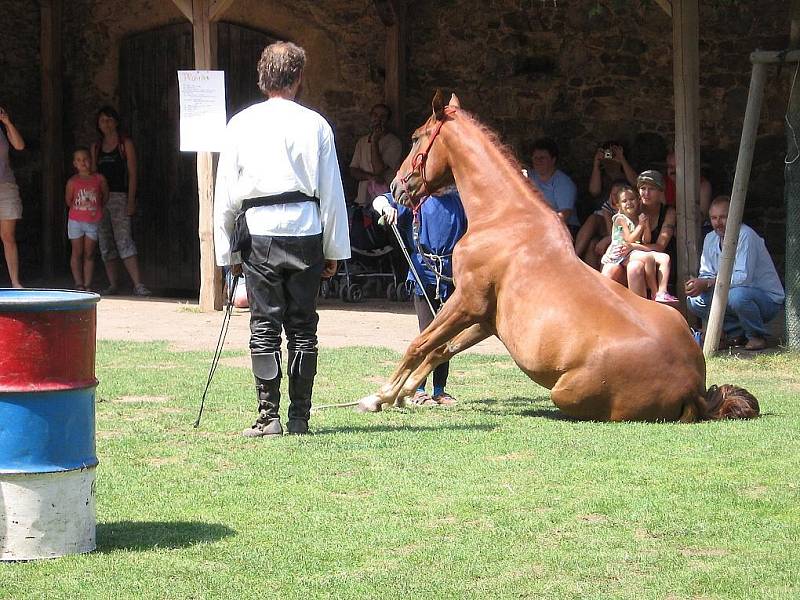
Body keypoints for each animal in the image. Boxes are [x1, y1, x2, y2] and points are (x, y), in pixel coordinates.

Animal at [360, 94, 760, 422]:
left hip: (563, 393)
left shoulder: (466, 301)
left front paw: (378, 396)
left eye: (416, 137)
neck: (506, 218)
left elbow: (420, 344)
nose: (395, 187)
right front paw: (400, 395)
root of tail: (694, 388)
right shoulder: (486, 319)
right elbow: (440, 349)